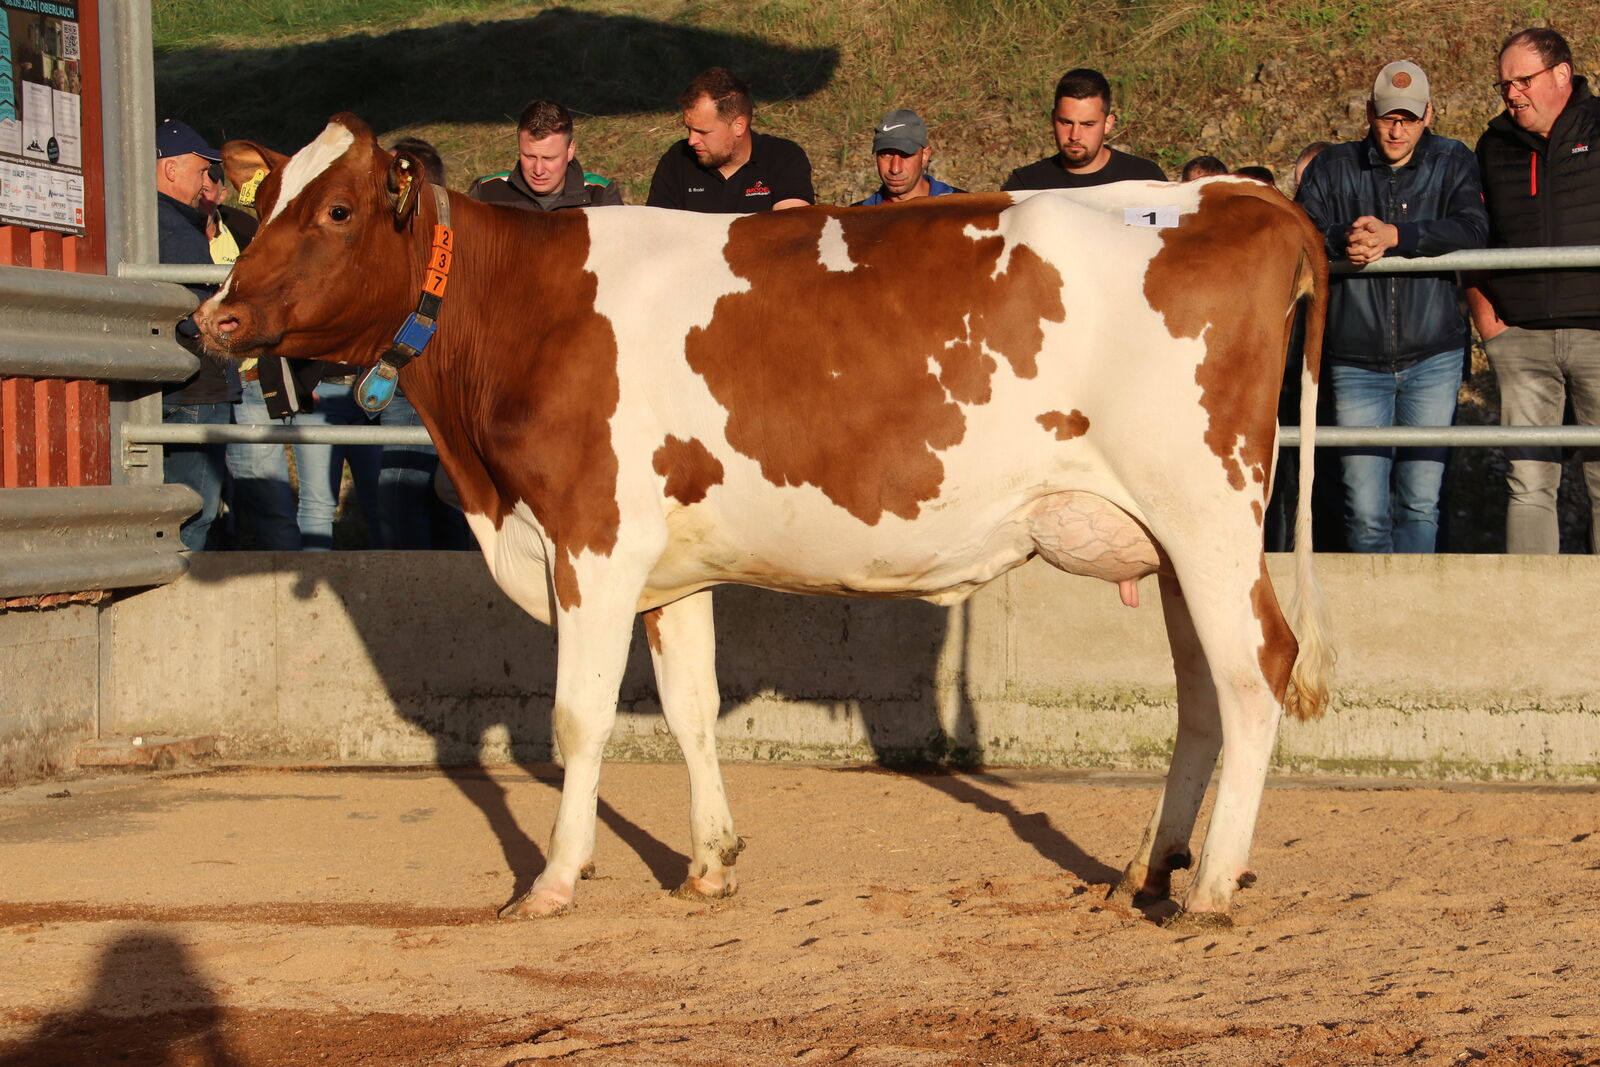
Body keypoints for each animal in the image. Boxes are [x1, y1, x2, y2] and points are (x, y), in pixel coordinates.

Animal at [193, 115, 1331, 927]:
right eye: (260, 207)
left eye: (339, 210)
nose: (214, 316)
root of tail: (1232, 193)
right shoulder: (670, 567)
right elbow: (691, 708)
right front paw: (709, 865)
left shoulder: (593, 540)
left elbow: (577, 716)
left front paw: (554, 878)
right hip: (1173, 540)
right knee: (1202, 691)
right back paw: (1148, 869)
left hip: (1209, 512)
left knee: (1255, 670)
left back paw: (1212, 887)